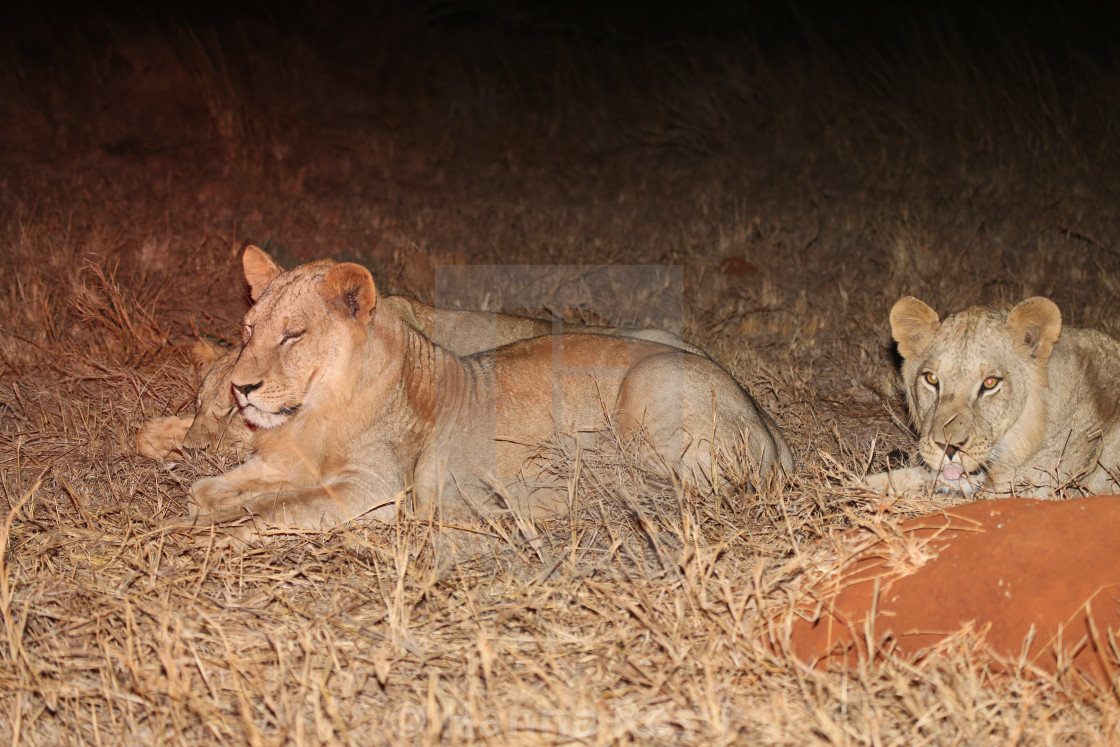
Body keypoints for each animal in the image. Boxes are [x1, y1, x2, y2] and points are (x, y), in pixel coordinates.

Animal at [185, 245, 797, 526]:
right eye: (249, 329)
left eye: (293, 335)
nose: (241, 388)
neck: (317, 411)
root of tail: (767, 424)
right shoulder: (282, 461)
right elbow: (213, 488)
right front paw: (205, 505)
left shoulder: (378, 490)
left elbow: (273, 510)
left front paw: (210, 530)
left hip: (652, 384)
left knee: (658, 488)